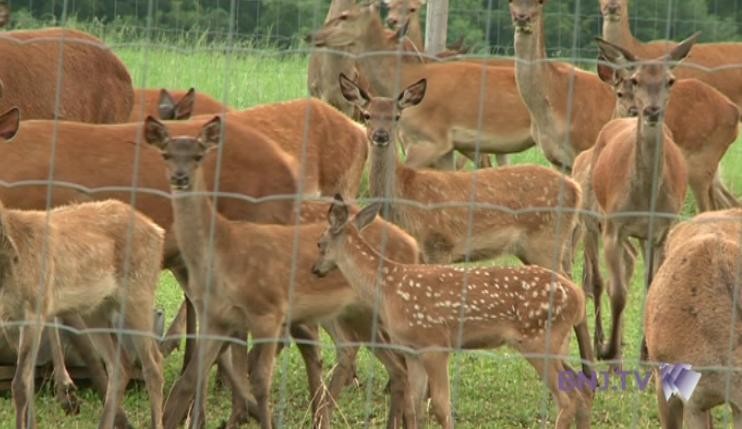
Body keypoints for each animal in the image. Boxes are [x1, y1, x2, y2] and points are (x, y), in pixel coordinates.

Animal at [0, 197, 165, 429]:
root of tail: (158, 231)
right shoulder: (9, 321)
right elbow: (28, 382)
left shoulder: (35, 309)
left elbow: (20, 385)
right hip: (95, 310)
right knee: (119, 364)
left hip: (138, 294)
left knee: (154, 364)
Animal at [143, 115, 423, 429]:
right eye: (165, 155)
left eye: (199, 156)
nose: (179, 178)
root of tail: (413, 245)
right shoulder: (222, 316)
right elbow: (206, 370)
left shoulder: (266, 313)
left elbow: (255, 371)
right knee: (390, 362)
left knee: (383, 356)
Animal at [313, 195, 595, 429]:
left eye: (319, 243)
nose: (315, 270)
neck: (388, 289)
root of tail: (578, 298)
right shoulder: (412, 350)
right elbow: (415, 406)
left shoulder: (435, 344)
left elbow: (440, 407)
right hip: (554, 342)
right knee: (581, 390)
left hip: (539, 339)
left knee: (568, 398)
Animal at [339, 73, 581, 275]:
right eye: (367, 115)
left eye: (396, 116)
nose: (381, 135)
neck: (403, 194)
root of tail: (575, 190)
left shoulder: (438, 243)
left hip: (545, 239)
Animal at [574, 35, 694, 367]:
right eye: (636, 79)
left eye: (670, 80)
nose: (650, 110)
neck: (643, 198)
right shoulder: (614, 226)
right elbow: (617, 291)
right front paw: (609, 351)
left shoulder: (661, 230)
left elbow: (651, 286)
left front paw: (646, 354)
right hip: (590, 221)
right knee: (595, 280)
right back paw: (599, 344)